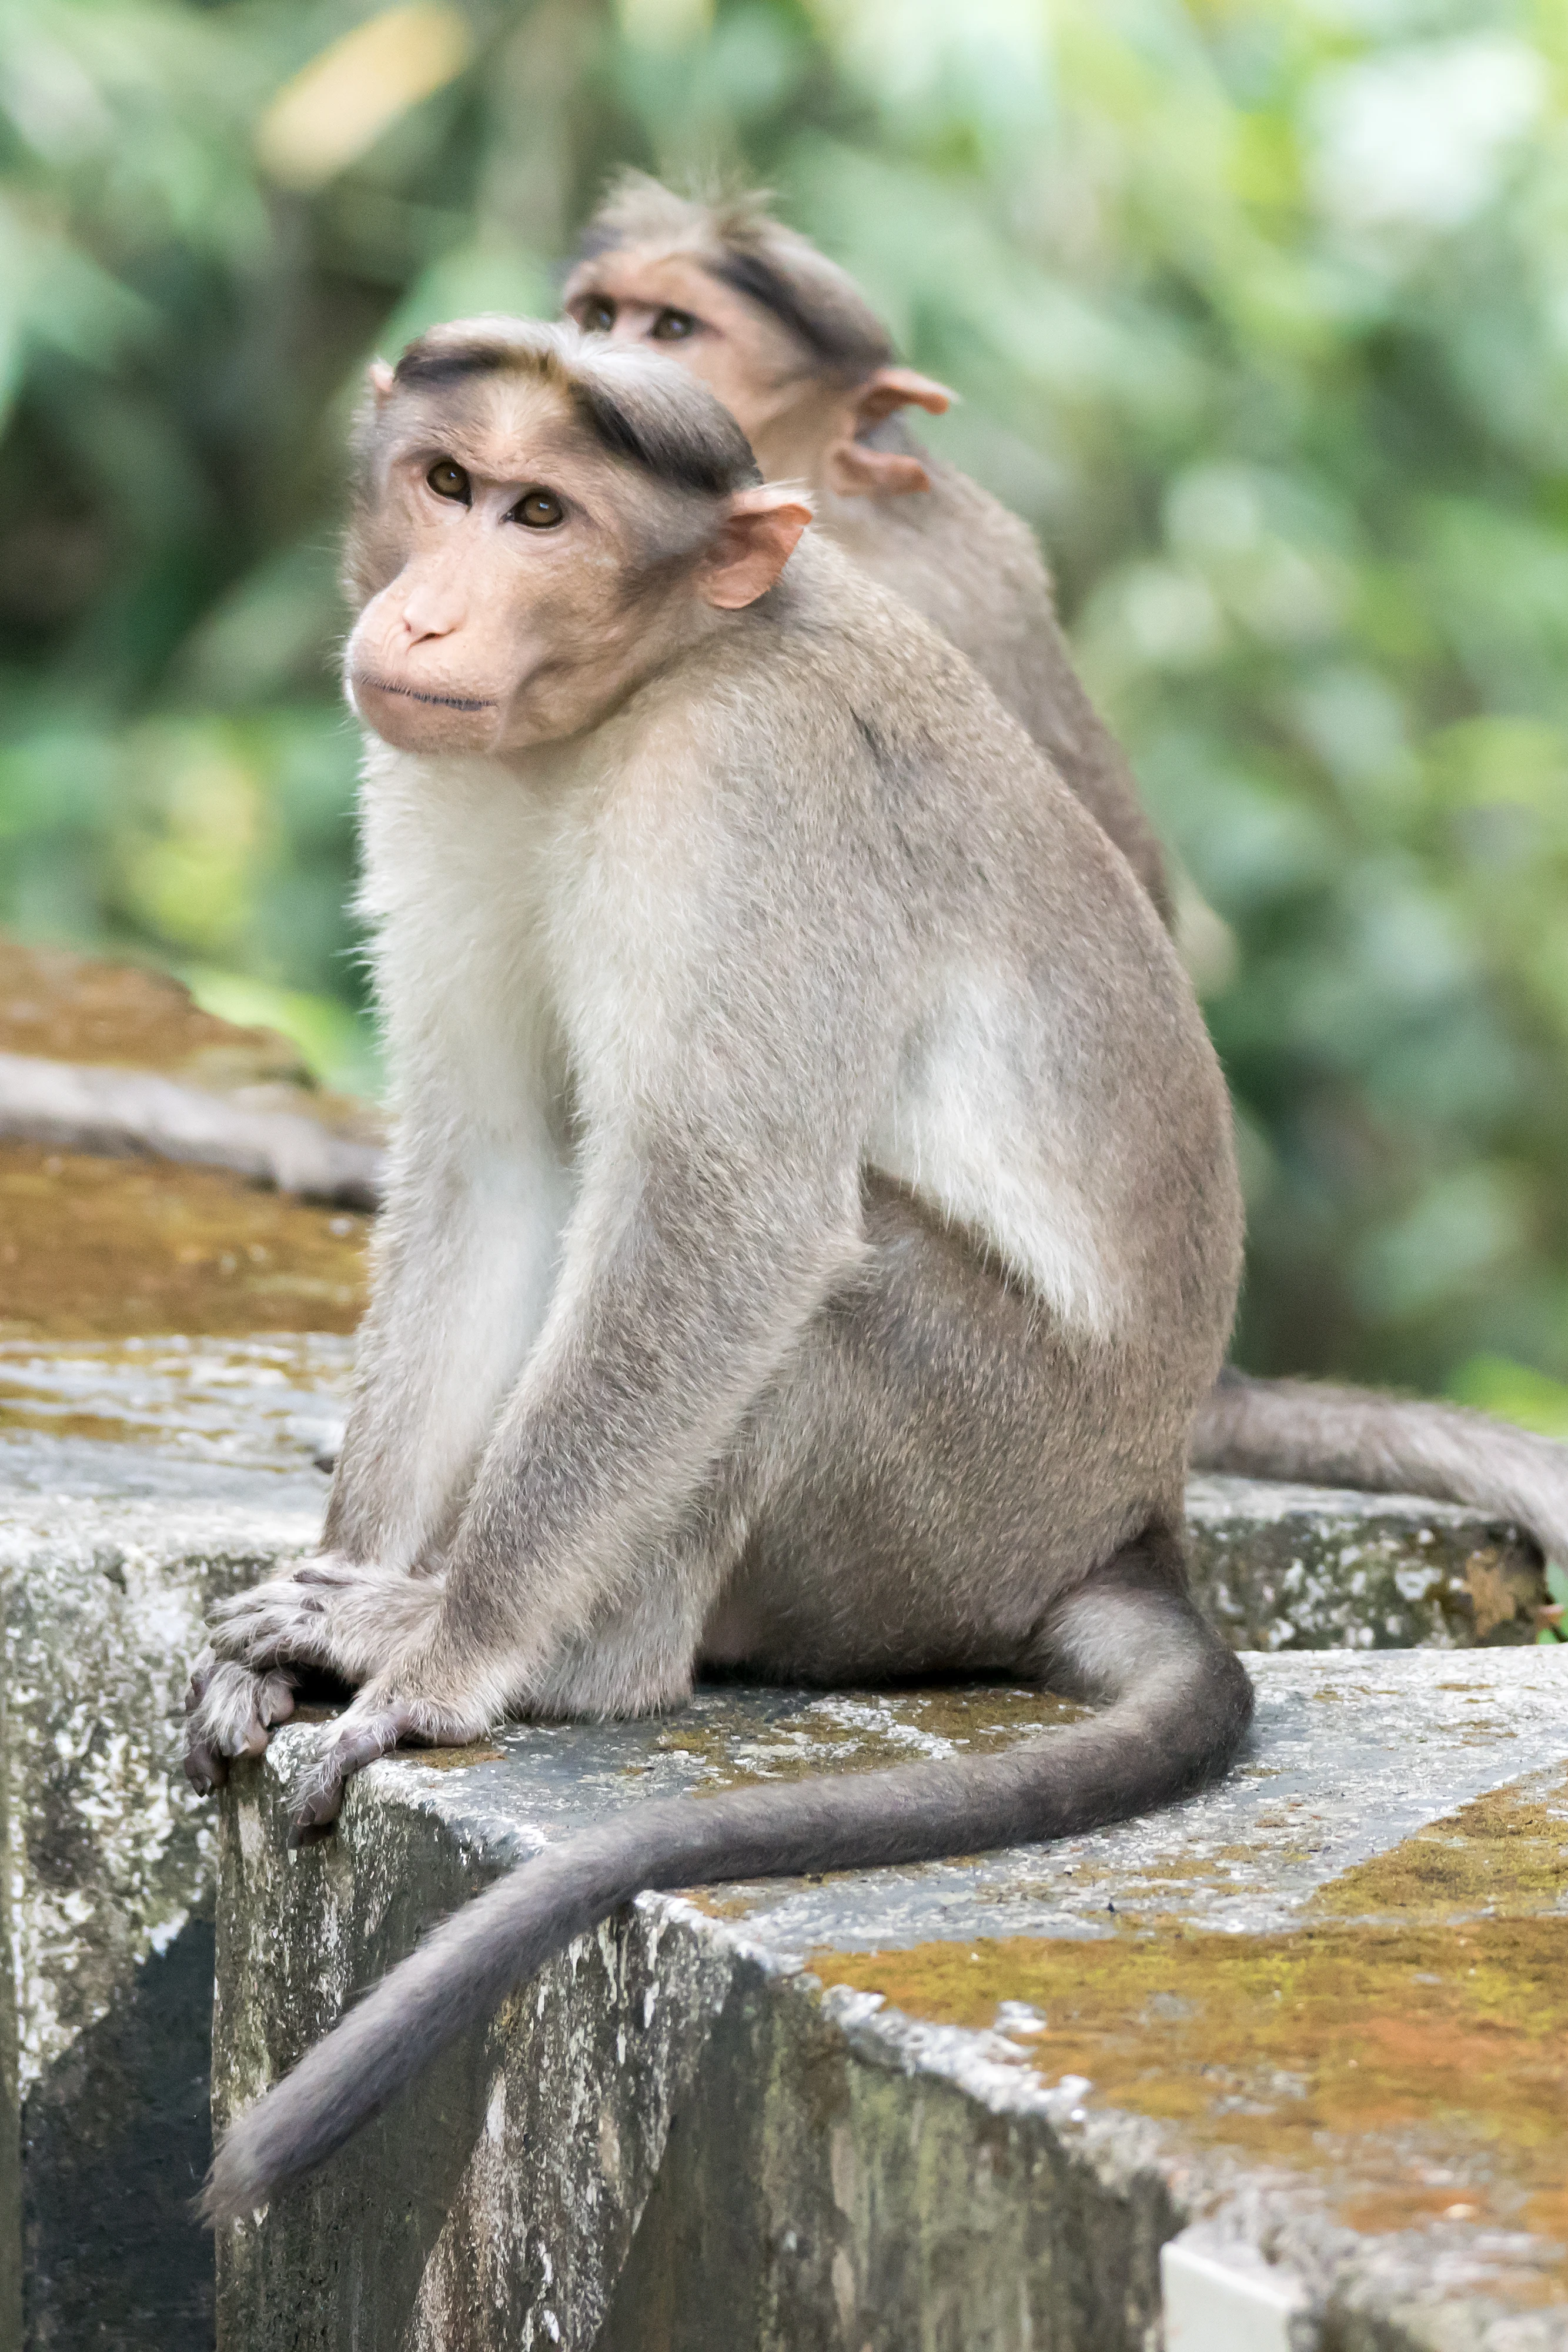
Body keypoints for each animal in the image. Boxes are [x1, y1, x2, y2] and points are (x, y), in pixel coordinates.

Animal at [184, 317, 1250, 2221]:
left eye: (543, 514)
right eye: (448, 484)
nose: (427, 615)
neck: (639, 693)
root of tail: (1135, 1520)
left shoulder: (752, 792)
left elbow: (724, 1200)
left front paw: (437, 1646)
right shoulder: (437, 771)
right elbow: (497, 1164)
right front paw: (328, 1620)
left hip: (962, 1489)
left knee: (806, 1301)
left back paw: (584, 1661)